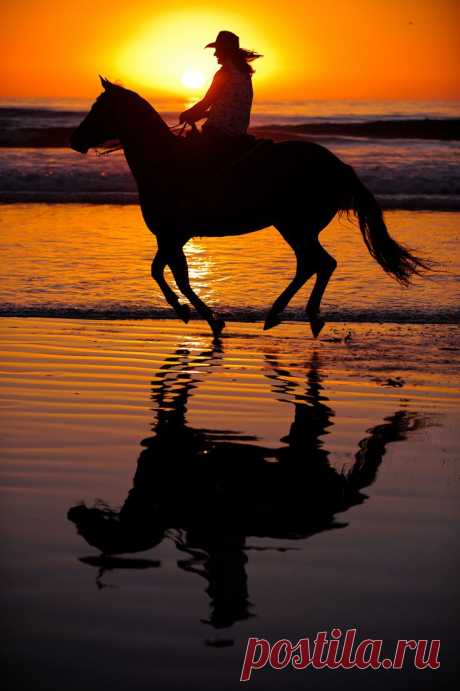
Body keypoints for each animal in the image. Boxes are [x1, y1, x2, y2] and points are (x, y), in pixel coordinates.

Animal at [70, 77, 430, 338]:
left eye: (99, 107)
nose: (75, 140)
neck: (164, 161)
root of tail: (338, 166)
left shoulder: (171, 235)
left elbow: (174, 276)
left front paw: (202, 316)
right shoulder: (173, 236)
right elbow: (163, 272)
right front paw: (196, 315)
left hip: (295, 226)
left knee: (320, 263)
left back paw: (295, 315)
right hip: (295, 227)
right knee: (312, 265)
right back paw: (284, 315)